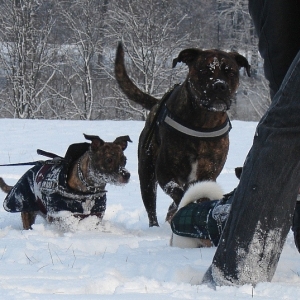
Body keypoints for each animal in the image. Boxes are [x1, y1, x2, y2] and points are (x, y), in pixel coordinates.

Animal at [0, 134, 131, 230]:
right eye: (109, 159)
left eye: (124, 160)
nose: (127, 175)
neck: (88, 191)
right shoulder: (59, 213)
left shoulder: (96, 214)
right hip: (28, 212)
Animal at [115, 41, 251, 225]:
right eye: (205, 70)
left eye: (231, 71)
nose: (219, 85)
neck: (204, 121)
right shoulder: (165, 172)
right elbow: (178, 193)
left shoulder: (208, 174)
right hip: (147, 173)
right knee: (152, 207)